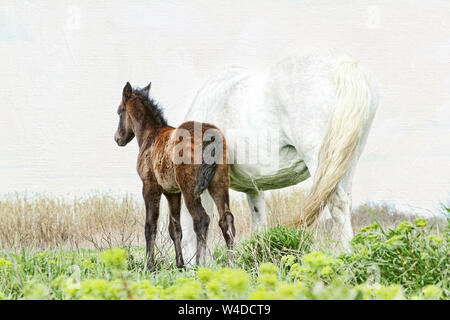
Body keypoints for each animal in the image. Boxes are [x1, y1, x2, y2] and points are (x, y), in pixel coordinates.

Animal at [113, 81, 236, 268]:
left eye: (120, 111)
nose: (117, 138)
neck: (150, 135)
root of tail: (211, 137)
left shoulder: (150, 187)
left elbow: (150, 226)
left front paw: (149, 266)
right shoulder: (172, 192)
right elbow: (175, 228)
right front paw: (180, 265)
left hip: (190, 188)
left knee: (201, 219)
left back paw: (199, 264)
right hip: (219, 183)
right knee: (226, 219)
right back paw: (232, 264)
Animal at [178, 48, 378, 262]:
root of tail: (344, 66)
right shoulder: (253, 189)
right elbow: (259, 224)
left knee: (338, 204)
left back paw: (345, 255)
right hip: (346, 160)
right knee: (346, 201)